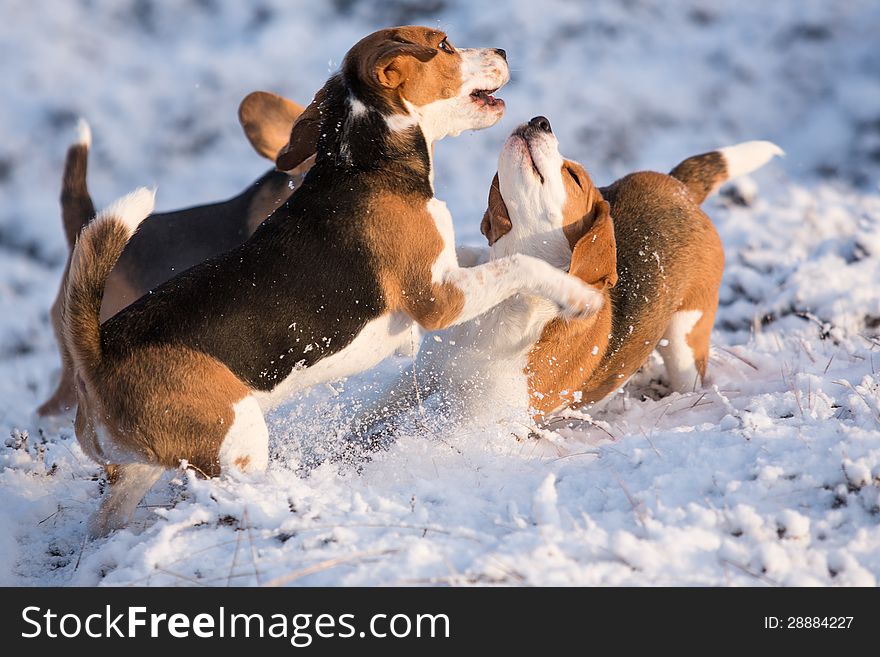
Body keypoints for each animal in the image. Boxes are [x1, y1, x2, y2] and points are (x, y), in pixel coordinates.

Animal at [67, 28, 600, 536]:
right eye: (445, 44)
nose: (503, 51)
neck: (365, 161)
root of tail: (98, 357)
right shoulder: (438, 298)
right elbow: (519, 266)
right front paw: (579, 296)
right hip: (239, 443)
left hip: (140, 470)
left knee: (104, 522)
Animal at [358, 116, 784, 436]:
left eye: (574, 177)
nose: (540, 120)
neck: (510, 295)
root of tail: (680, 188)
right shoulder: (424, 374)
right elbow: (364, 411)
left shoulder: (483, 424)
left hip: (684, 342)